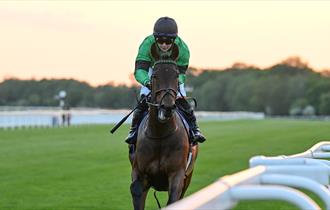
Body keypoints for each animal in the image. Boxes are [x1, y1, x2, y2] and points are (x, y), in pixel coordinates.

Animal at [129, 45, 197, 209]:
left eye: (176, 75)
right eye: (155, 76)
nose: (167, 107)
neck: (160, 134)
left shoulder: (177, 175)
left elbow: (173, 199)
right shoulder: (139, 174)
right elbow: (136, 191)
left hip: (188, 177)